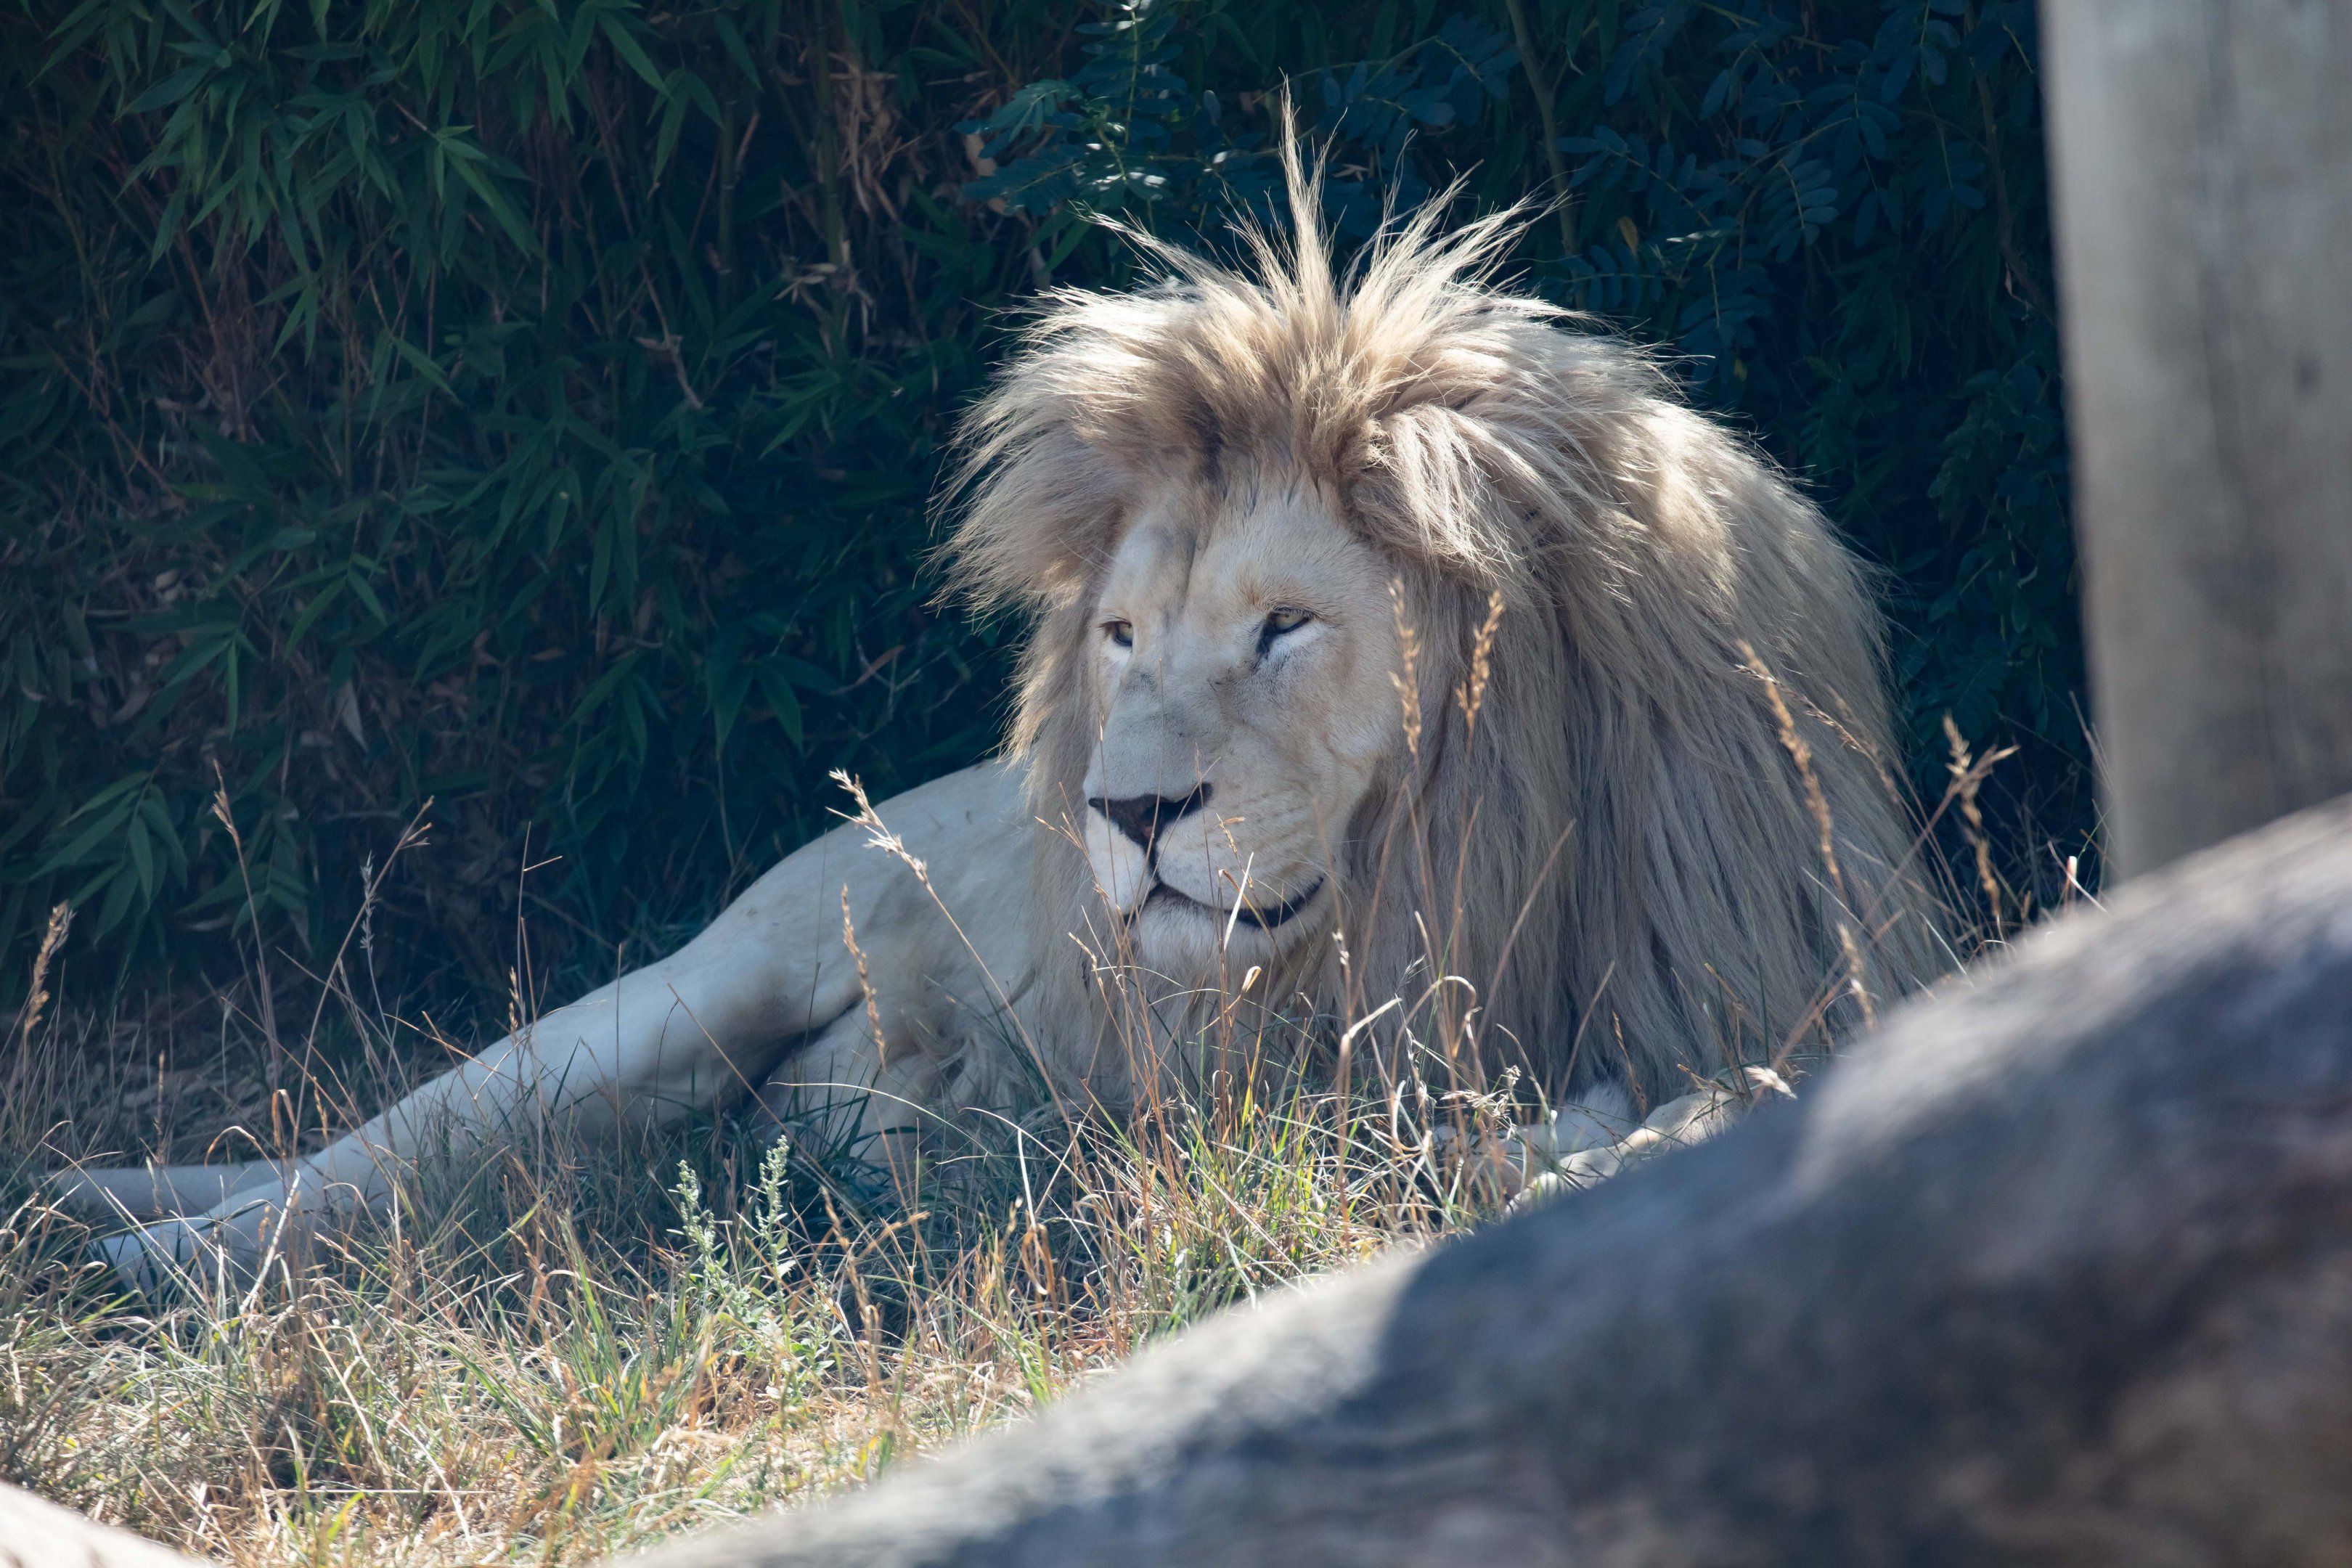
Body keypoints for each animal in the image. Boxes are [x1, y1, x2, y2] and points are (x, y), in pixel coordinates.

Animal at [57, 153, 1944, 1285]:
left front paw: (1592, 1153)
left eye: (1283, 627)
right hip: (696, 982)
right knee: (390, 1151)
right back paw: (126, 1254)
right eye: (1121, 636)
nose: (1125, 816)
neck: (1473, 862)